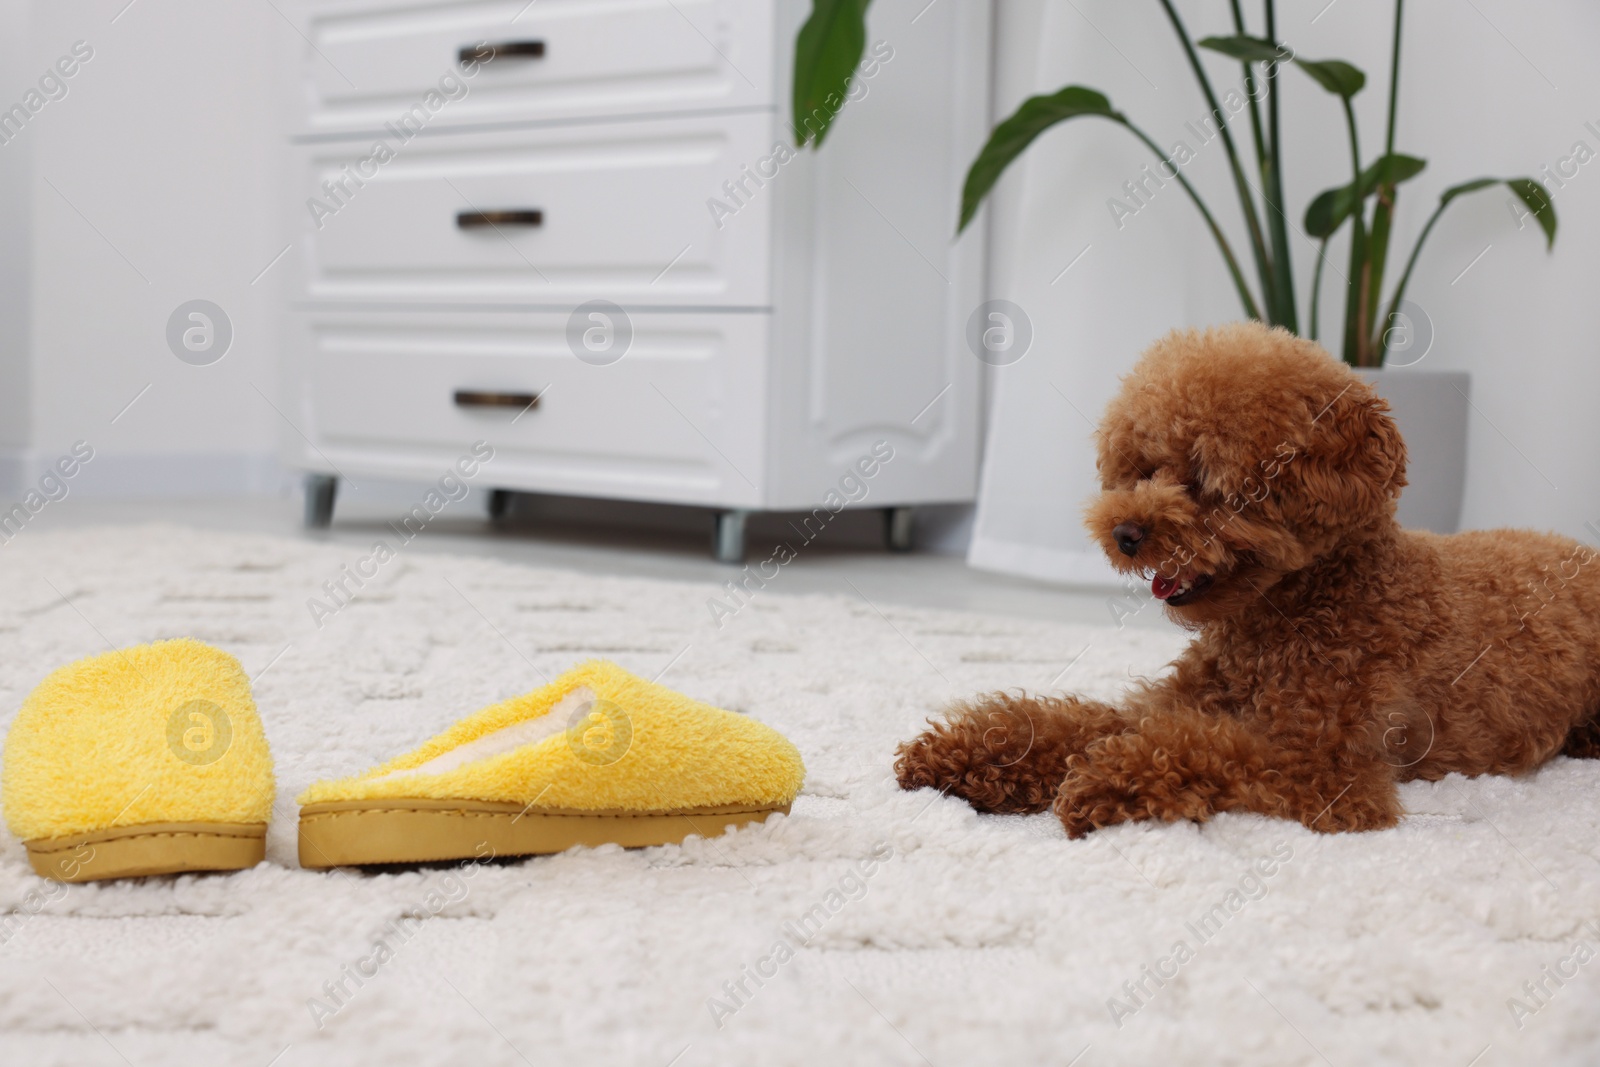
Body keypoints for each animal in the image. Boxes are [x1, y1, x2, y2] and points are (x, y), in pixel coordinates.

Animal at [896, 321, 1593, 838]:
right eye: (1144, 468)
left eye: (1209, 481)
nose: (1124, 533)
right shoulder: (1173, 703)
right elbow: (1077, 721)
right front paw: (969, 752)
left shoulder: (1328, 770)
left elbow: (1208, 748)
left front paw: (1103, 778)